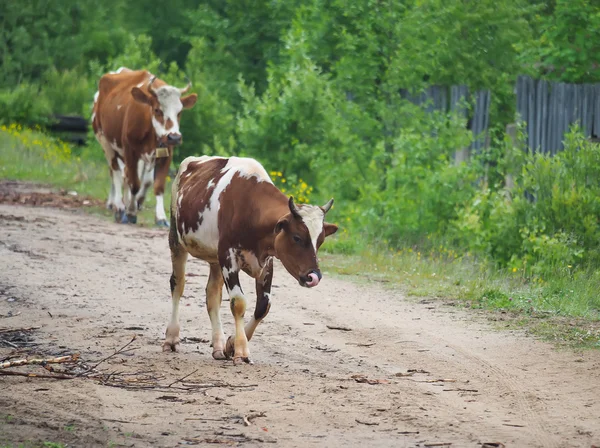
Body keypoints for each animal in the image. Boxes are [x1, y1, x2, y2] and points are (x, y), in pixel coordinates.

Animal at [92, 67, 197, 226]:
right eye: (157, 110)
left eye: (179, 112)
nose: (174, 137)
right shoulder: (130, 151)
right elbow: (134, 183)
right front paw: (130, 212)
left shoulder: (166, 153)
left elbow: (156, 185)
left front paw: (160, 217)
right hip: (105, 141)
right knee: (116, 173)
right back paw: (119, 207)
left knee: (128, 176)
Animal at [164, 156, 338, 366]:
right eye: (297, 237)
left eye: (320, 241)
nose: (314, 276)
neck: (249, 208)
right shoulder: (228, 256)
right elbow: (238, 302)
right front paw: (241, 350)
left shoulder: (266, 261)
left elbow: (263, 305)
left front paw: (231, 344)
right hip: (176, 239)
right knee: (178, 284)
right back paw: (172, 338)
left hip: (215, 258)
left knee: (212, 295)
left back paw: (218, 346)